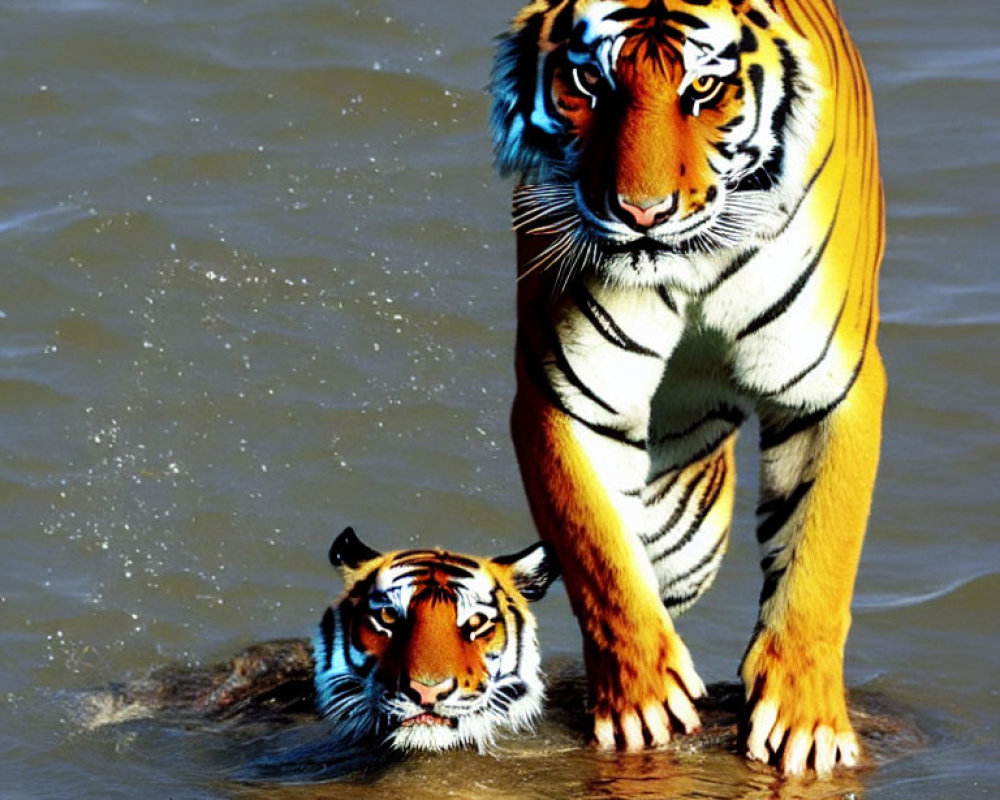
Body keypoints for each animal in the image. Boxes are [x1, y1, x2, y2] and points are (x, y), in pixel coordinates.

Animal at [490, 0, 884, 780]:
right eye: (589, 80)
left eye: (704, 88)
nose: (642, 213)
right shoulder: (571, 390)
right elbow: (600, 552)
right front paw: (640, 701)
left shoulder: (831, 387)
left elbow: (821, 556)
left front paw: (804, 720)